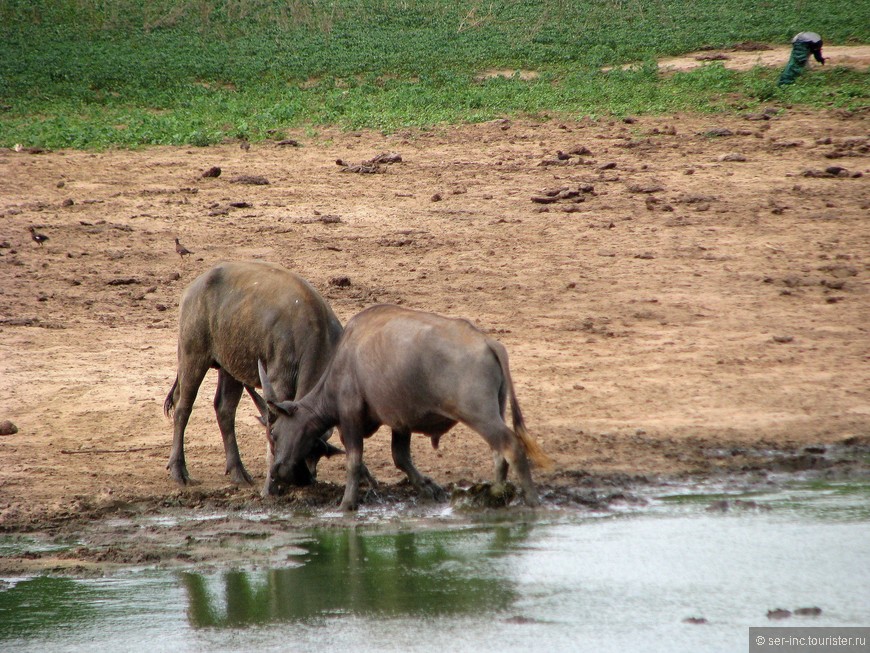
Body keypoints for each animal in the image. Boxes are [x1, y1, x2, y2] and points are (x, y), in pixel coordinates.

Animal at [164, 260, 344, 488]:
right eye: (276, 438)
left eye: (313, 450)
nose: (298, 477)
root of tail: (193, 287)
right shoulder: (278, 380)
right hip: (192, 354)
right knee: (183, 407)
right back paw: (179, 470)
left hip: (230, 366)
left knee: (224, 409)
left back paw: (238, 471)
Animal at [255, 304, 552, 512]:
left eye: (275, 434)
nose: (277, 471)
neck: (344, 361)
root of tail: (488, 342)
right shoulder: (401, 423)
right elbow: (400, 457)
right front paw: (428, 487)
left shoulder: (350, 418)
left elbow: (354, 462)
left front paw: (347, 504)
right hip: (495, 411)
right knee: (498, 452)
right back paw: (496, 494)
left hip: (480, 415)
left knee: (510, 446)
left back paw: (531, 501)